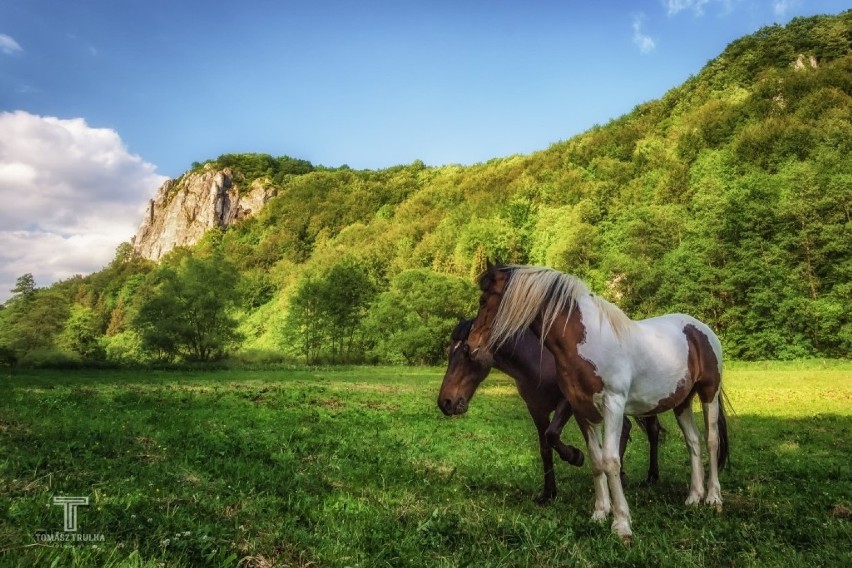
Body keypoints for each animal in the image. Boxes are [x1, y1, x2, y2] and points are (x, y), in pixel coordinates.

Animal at [440, 318, 664, 504]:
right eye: (450, 352)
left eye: (468, 352)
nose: (445, 402)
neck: (537, 359)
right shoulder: (536, 409)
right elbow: (545, 449)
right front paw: (548, 493)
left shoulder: (567, 402)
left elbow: (552, 434)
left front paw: (575, 456)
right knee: (626, 428)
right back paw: (623, 476)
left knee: (651, 430)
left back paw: (651, 477)